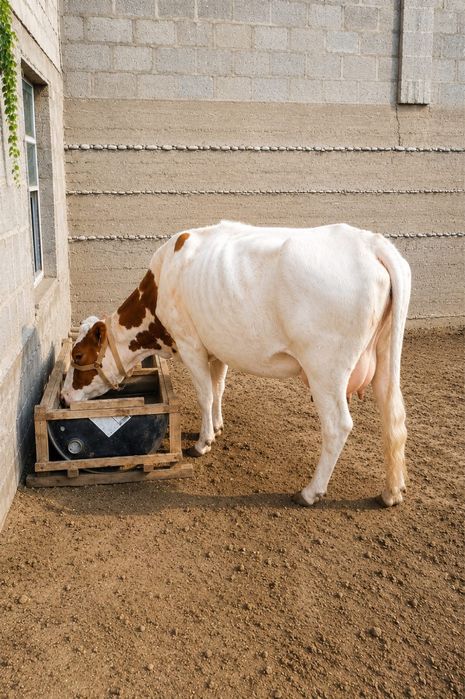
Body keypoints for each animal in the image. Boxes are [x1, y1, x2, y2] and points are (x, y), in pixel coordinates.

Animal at [61, 221, 411, 507]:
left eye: (78, 357)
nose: (64, 397)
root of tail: (369, 242)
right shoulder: (217, 346)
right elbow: (218, 388)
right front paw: (217, 427)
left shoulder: (190, 343)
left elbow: (204, 395)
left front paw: (202, 443)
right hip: (383, 358)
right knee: (393, 418)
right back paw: (391, 492)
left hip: (325, 368)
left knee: (338, 425)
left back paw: (310, 492)